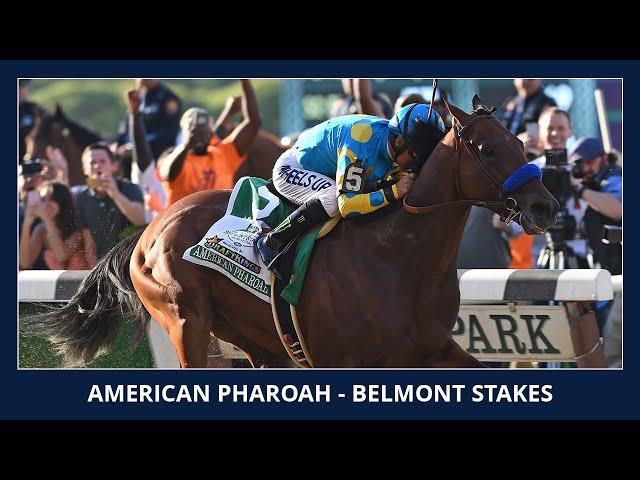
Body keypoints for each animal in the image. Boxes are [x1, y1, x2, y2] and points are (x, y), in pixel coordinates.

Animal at [22, 96, 556, 368]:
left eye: (519, 140)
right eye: (487, 150)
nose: (545, 206)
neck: (399, 260)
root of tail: (150, 229)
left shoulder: (432, 351)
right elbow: (342, 195)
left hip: (259, 343)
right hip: (185, 323)